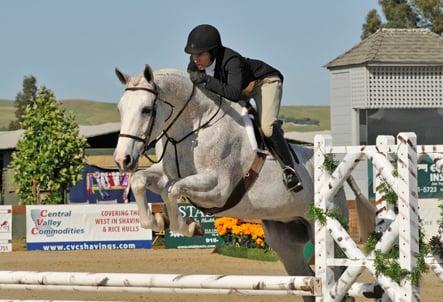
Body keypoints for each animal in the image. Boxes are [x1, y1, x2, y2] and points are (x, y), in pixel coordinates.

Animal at [114, 65, 374, 300]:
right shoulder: (165, 174)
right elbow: (140, 181)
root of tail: (332, 168)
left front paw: (188, 226)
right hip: (285, 239)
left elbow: (173, 189)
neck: (192, 128)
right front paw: (158, 220)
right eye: (120, 108)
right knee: (306, 278)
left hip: (328, 230)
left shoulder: (219, 189)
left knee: (337, 278)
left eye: (146, 110)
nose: (122, 159)